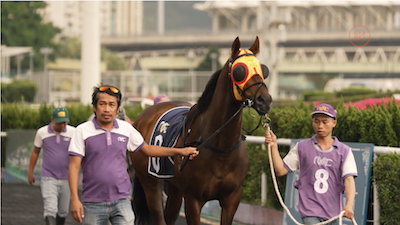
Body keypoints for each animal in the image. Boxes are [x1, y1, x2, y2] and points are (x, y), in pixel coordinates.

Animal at [130, 36, 274, 224]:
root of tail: (142, 117)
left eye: (263, 69)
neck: (221, 149)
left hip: (174, 189)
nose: (265, 100)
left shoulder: (232, 198)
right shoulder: (193, 199)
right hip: (151, 184)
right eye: (240, 71)